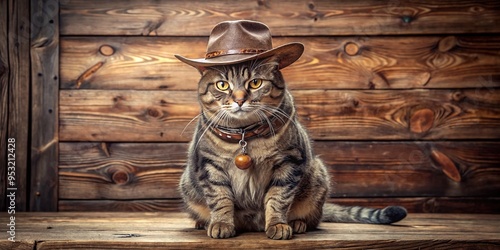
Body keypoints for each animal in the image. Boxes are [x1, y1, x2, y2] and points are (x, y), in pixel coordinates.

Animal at [178, 57, 408, 239]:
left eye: (255, 83)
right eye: (222, 85)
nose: (240, 99)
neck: (244, 136)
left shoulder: (289, 162)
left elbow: (278, 198)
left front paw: (278, 225)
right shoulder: (209, 165)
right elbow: (220, 198)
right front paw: (221, 223)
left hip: (317, 176)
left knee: (314, 218)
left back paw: (298, 223)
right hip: (187, 184)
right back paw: (203, 222)